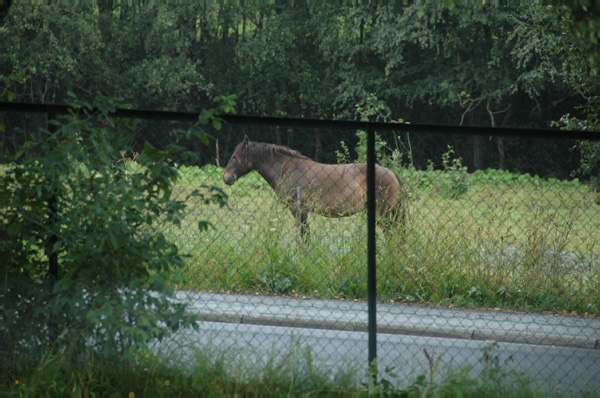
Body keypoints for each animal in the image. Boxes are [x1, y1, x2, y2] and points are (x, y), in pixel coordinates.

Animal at [223, 135, 406, 241]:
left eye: (235, 156)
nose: (226, 177)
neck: (288, 169)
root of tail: (392, 174)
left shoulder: (299, 210)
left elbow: (303, 237)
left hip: (384, 215)